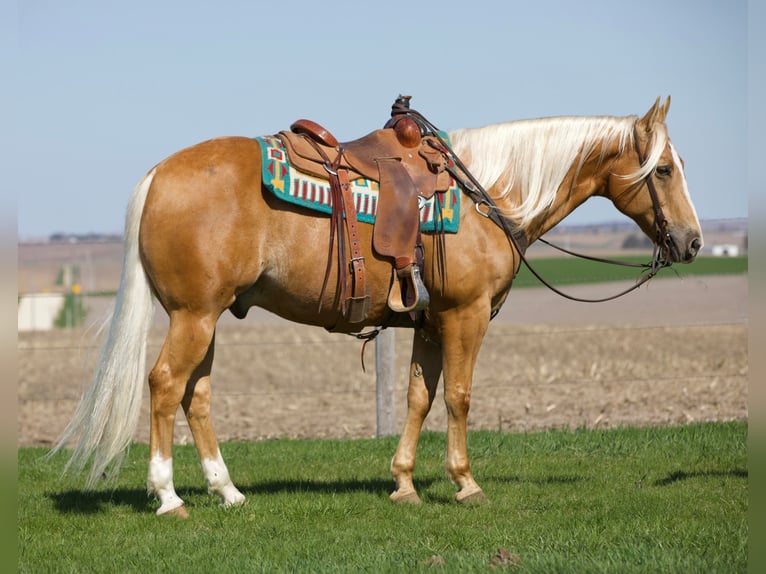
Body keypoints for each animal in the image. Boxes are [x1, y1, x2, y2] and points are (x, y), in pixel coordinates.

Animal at [52, 95, 704, 516]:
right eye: (663, 170)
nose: (693, 242)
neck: (490, 195)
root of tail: (158, 174)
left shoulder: (428, 321)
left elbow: (419, 396)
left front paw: (404, 483)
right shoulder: (464, 315)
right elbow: (460, 396)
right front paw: (465, 483)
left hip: (208, 318)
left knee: (197, 395)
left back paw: (228, 491)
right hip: (194, 316)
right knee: (165, 385)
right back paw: (169, 497)